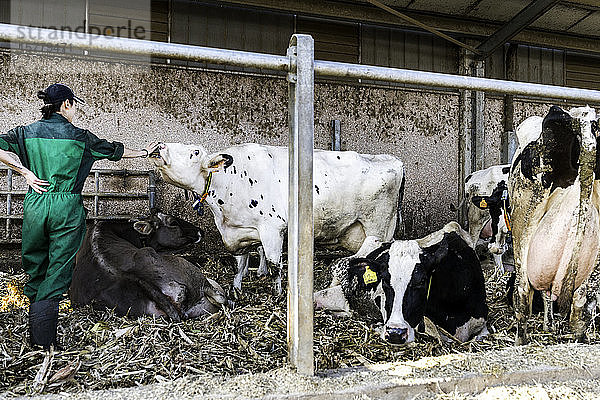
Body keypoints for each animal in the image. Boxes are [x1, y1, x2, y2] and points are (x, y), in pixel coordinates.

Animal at [151, 142, 404, 292]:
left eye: (193, 152)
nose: (159, 146)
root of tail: (394, 160)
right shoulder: (238, 234)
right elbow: (239, 266)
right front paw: (236, 290)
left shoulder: (272, 230)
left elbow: (275, 266)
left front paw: (278, 293)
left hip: (378, 229)